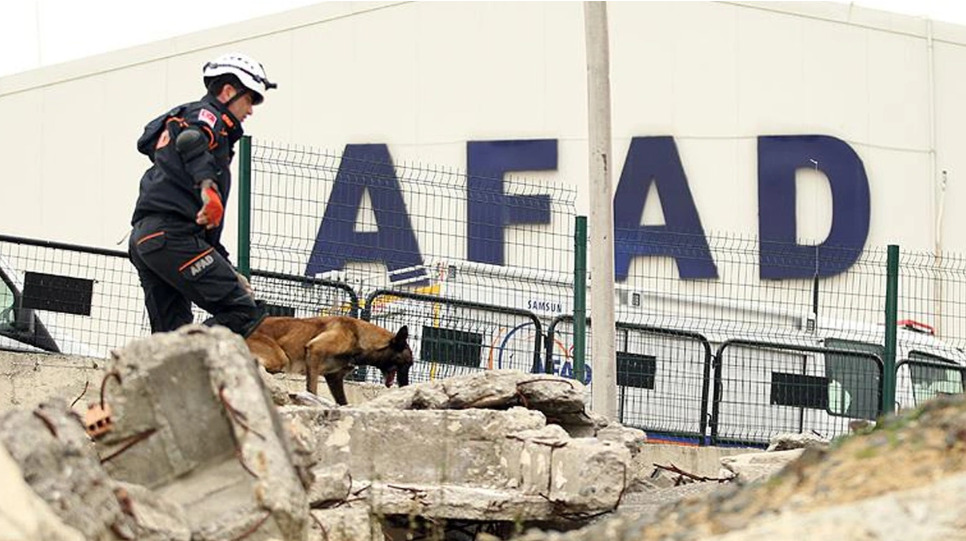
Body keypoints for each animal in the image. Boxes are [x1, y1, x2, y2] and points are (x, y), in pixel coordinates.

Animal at [246, 314, 412, 402]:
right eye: (407, 364)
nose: (405, 386)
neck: (359, 336)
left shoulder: (334, 379)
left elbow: (343, 402)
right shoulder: (314, 352)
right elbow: (312, 389)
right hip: (280, 358)